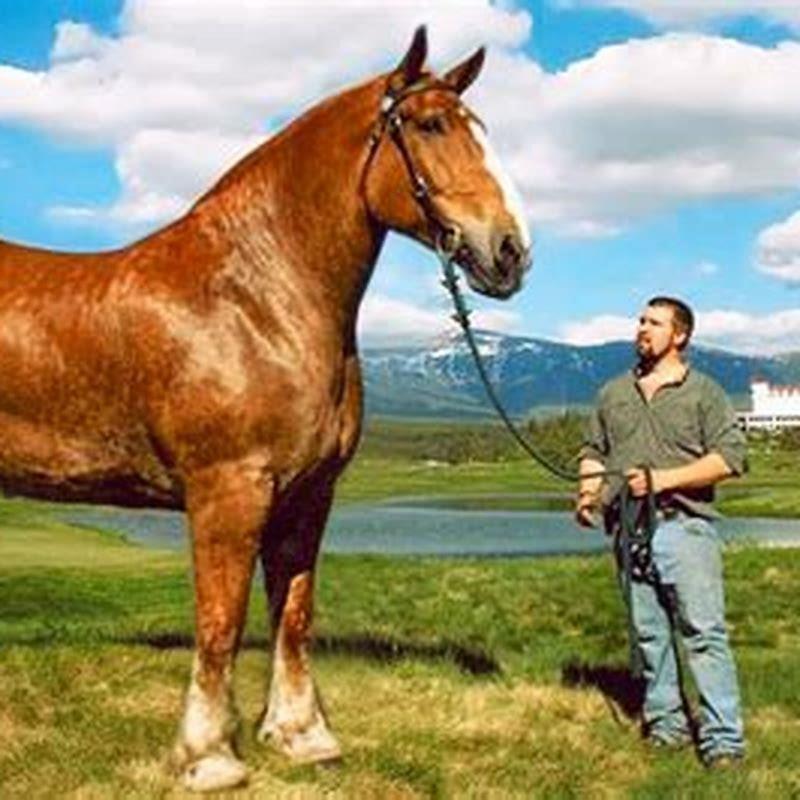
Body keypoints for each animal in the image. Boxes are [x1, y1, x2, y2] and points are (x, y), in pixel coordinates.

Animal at [0, 27, 530, 791]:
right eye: (430, 126)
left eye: (479, 128)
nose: (510, 251)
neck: (252, 300)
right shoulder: (230, 492)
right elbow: (221, 622)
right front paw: (208, 757)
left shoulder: (309, 495)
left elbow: (293, 615)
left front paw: (302, 736)